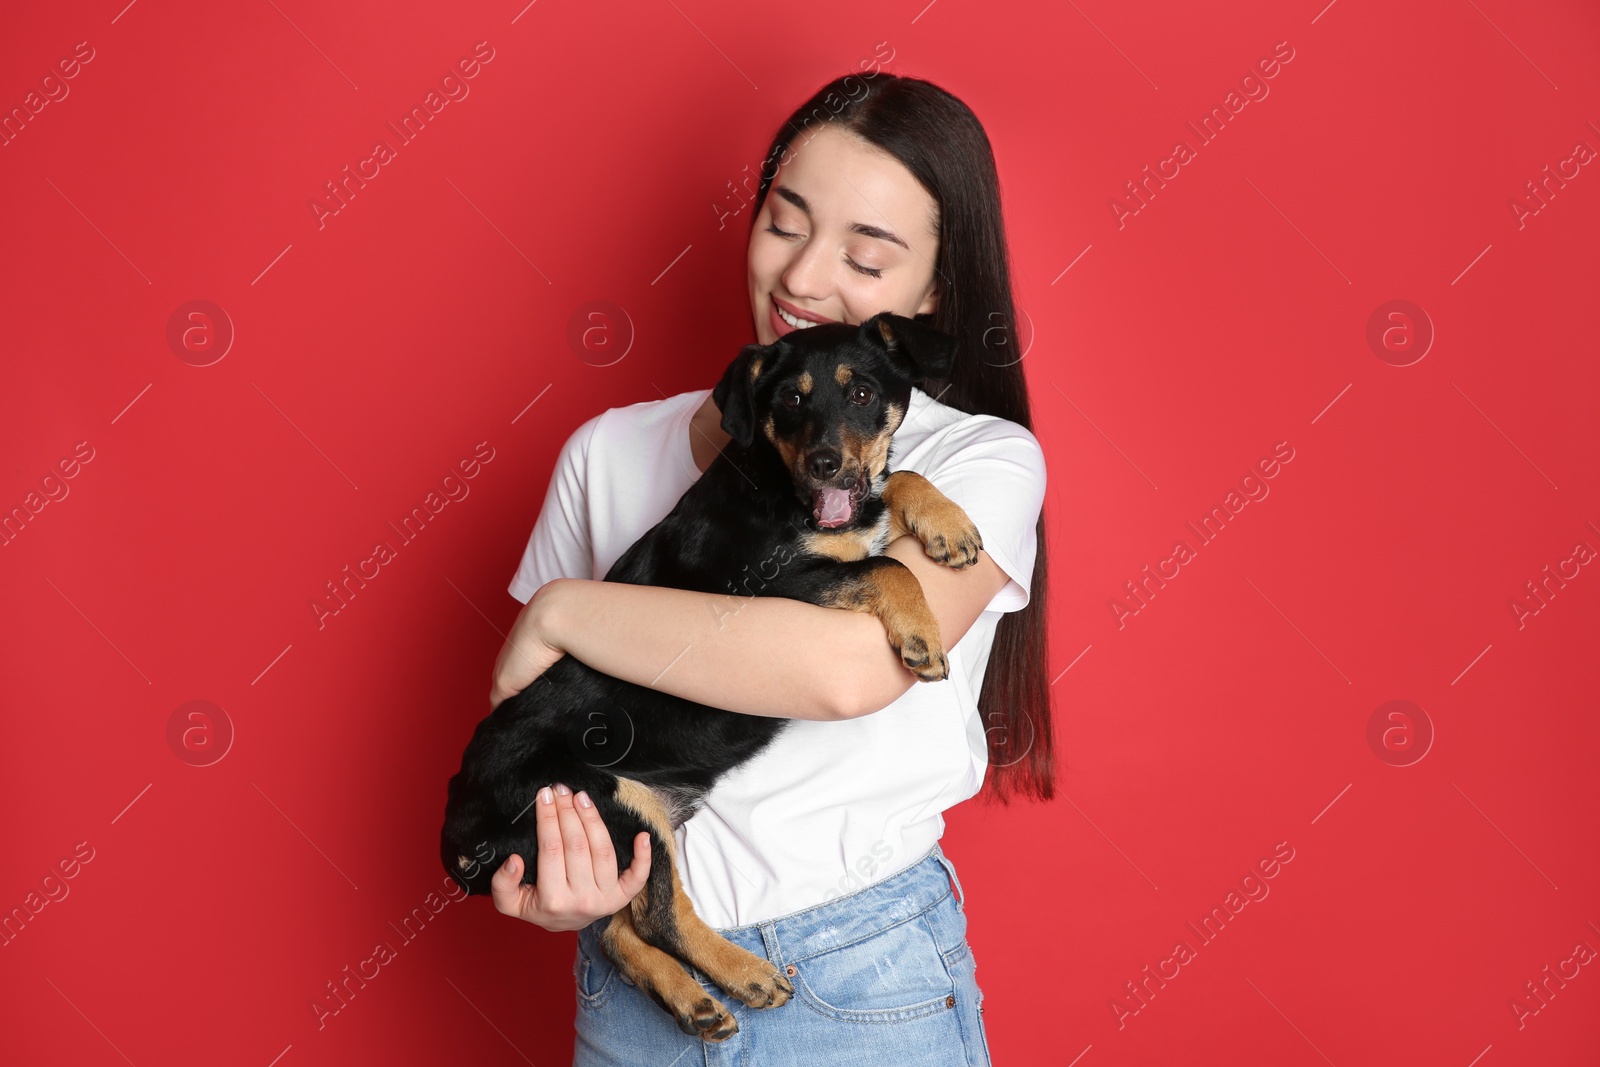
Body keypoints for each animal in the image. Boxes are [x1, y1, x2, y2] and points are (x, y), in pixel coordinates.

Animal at [444, 310, 979, 1043]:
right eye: (791, 400)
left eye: (863, 393)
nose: (825, 463)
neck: (785, 491)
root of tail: (455, 829)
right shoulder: (771, 592)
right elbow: (882, 564)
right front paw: (921, 632)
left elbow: (895, 481)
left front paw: (948, 523)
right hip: (605, 799)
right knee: (656, 915)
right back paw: (745, 973)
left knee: (619, 928)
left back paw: (694, 1001)